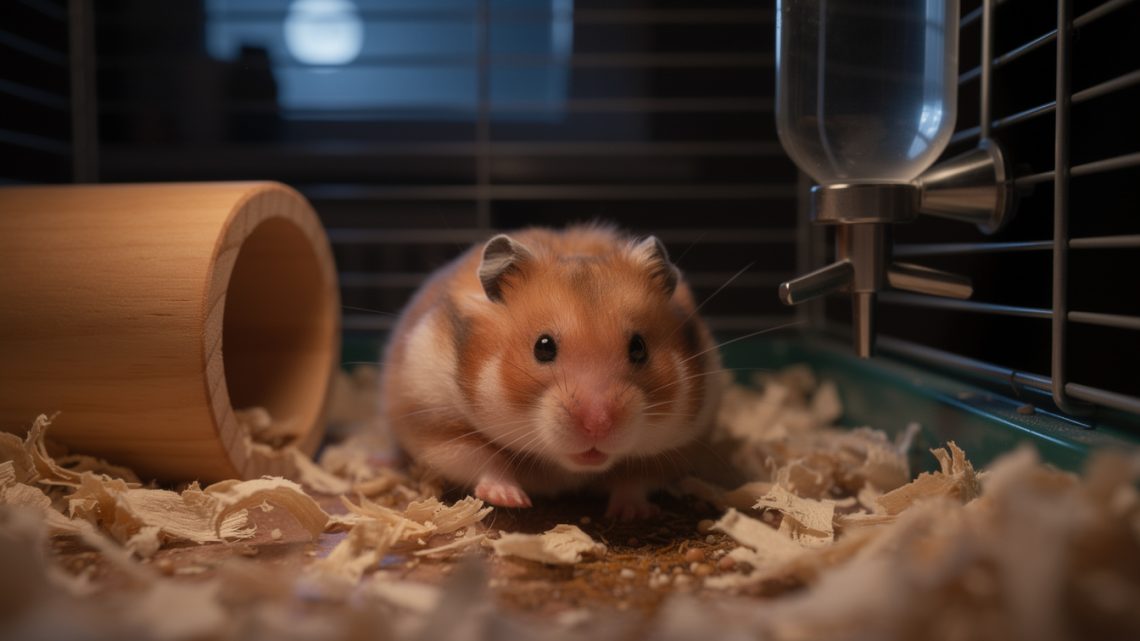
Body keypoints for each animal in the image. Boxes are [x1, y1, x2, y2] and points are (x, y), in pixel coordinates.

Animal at [378, 225, 722, 519]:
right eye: (543, 347)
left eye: (639, 347)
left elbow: (635, 479)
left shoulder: (681, 442)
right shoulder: (438, 423)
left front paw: (634, 514)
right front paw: (514, 500)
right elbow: (483, 460)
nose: (598, 425)